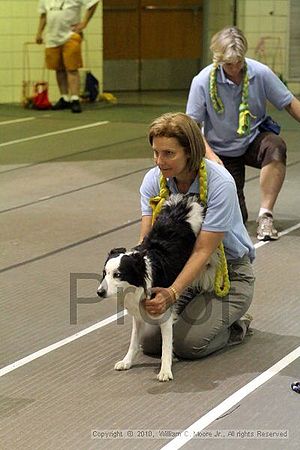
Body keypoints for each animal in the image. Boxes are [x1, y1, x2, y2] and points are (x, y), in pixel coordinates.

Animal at [98, 195, 218, 382]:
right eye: (104, 273)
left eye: (117, 274)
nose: (99, 292)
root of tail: (185, 200)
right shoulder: (138, 315)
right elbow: (134, 341)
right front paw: (127, 361)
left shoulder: (165, 313)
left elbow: (166, 346)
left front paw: (165, 370)